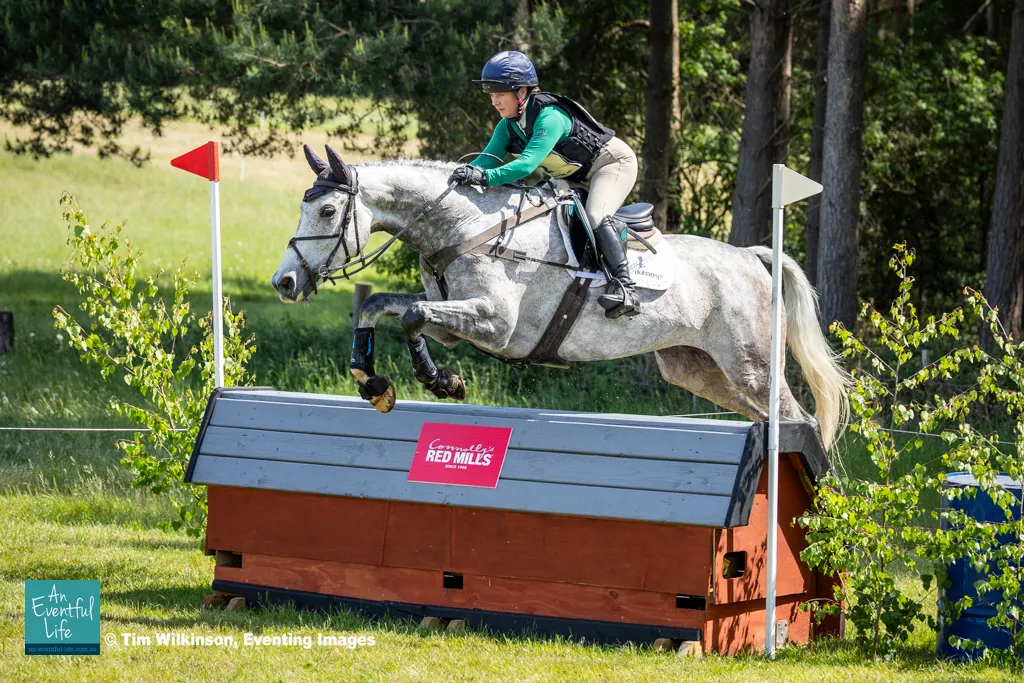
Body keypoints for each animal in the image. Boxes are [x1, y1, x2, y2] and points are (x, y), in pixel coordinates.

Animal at [271, 145, 850, 450]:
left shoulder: (496, 324)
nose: (285, 283)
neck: (462, 226)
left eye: (327, 212)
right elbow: (383, 307)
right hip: (699, 370)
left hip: (750, 364)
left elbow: (411, 313)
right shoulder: (455, 323)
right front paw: (374, 381)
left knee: (798, 420)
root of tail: (753, 258)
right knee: (771, 419)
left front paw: (440, 382)